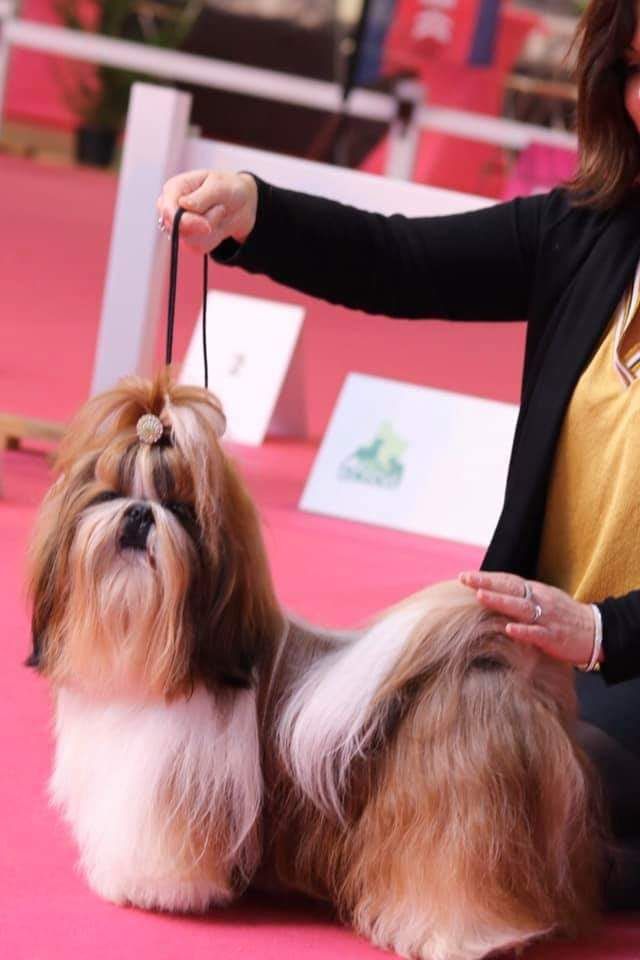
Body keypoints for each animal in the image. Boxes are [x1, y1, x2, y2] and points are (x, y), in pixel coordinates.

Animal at [27, 374, 604, 960]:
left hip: (457, 823)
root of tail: (497, 666)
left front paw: (147, 886)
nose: (141, 514)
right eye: (110, 494)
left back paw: (453, 936)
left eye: (181, 509)